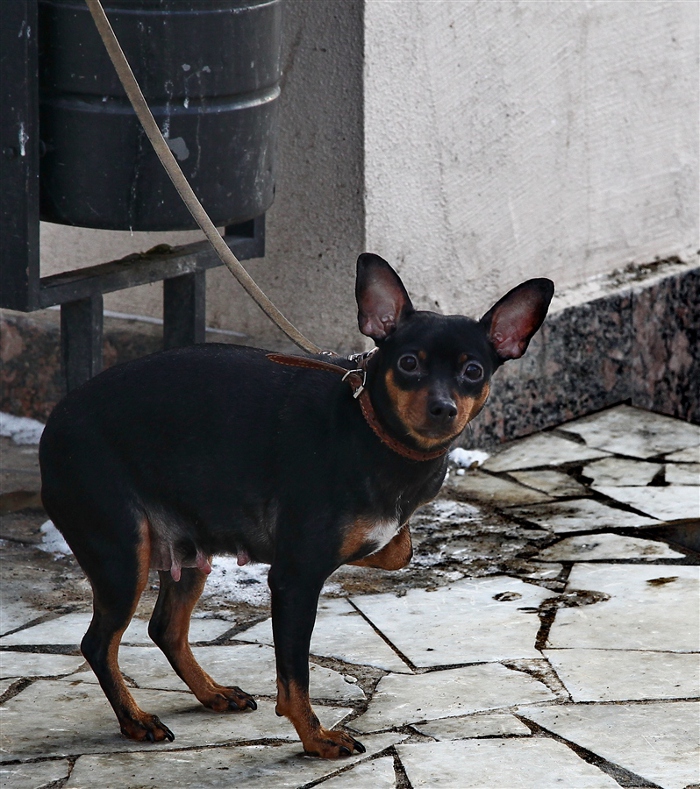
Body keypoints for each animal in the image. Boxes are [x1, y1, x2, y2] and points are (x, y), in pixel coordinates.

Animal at [39, 252, 552, 756]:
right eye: (408, 362)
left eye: (473, 371)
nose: (443, 407)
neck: (375, 435)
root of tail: (54, 422)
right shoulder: (295, 578)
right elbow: (294, 677)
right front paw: (317, 738)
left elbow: (397, 548)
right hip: (124, 555)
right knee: (98, 643)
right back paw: (135, 719)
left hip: (183, 547)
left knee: (165, 628)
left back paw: (212, 692)